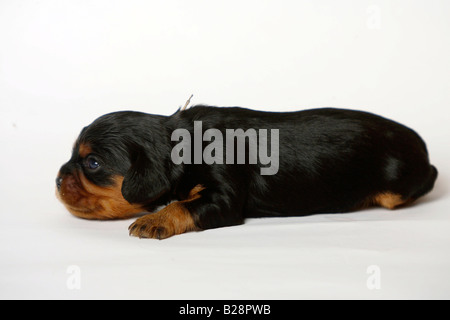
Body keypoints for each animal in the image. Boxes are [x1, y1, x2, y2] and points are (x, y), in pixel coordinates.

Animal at [54, 106, 438, 239]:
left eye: (93, 163)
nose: (56, 180)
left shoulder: (223, 196)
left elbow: (183, 204)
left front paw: (154, 220)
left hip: (399, 183)